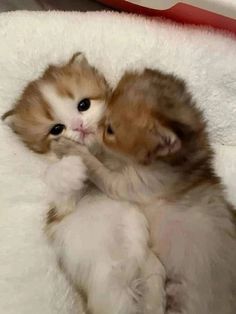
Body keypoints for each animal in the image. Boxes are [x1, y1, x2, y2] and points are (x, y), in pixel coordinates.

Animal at [2, 56, 167, 314]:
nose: (79, 125)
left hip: (151, 267)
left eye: (83, 105)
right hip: (109, 291)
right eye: (57, 129)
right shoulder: (60, 212)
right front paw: (70, 169)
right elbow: (57, 182)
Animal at [60, 69, 236, 314]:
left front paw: (74, 147)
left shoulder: (129, 184)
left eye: (110, 130)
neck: (184, 161)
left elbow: (97, 166)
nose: (93, 126)